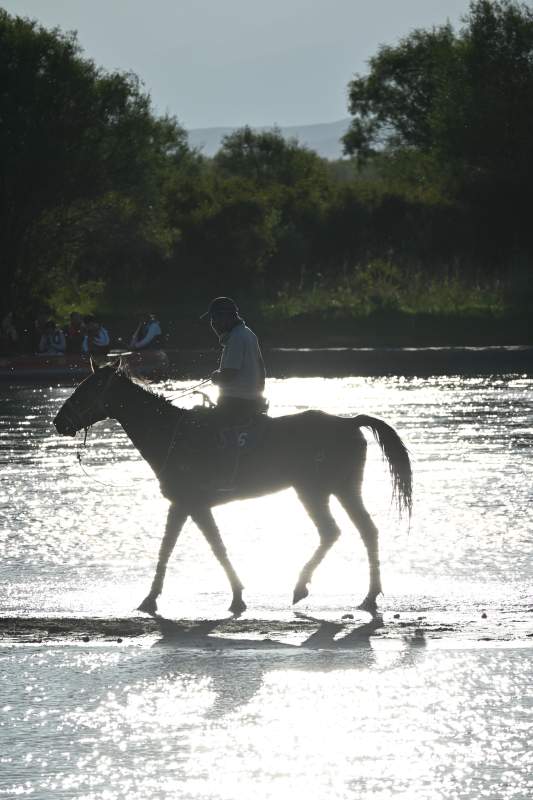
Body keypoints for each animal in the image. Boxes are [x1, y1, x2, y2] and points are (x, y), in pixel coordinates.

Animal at [53, 359, 412, 617]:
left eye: (86, 389)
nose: (59, 421)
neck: (171, 432)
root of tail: (349, 421)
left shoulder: (190, 504)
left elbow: (204, 548)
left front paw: (232, 597)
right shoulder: (186, 505)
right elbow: (181, 548)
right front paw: (154, 598)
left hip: (313, 491)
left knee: (331, 531)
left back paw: (303, 587)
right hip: (343, 489)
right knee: (366, 531)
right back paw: (368, 595)